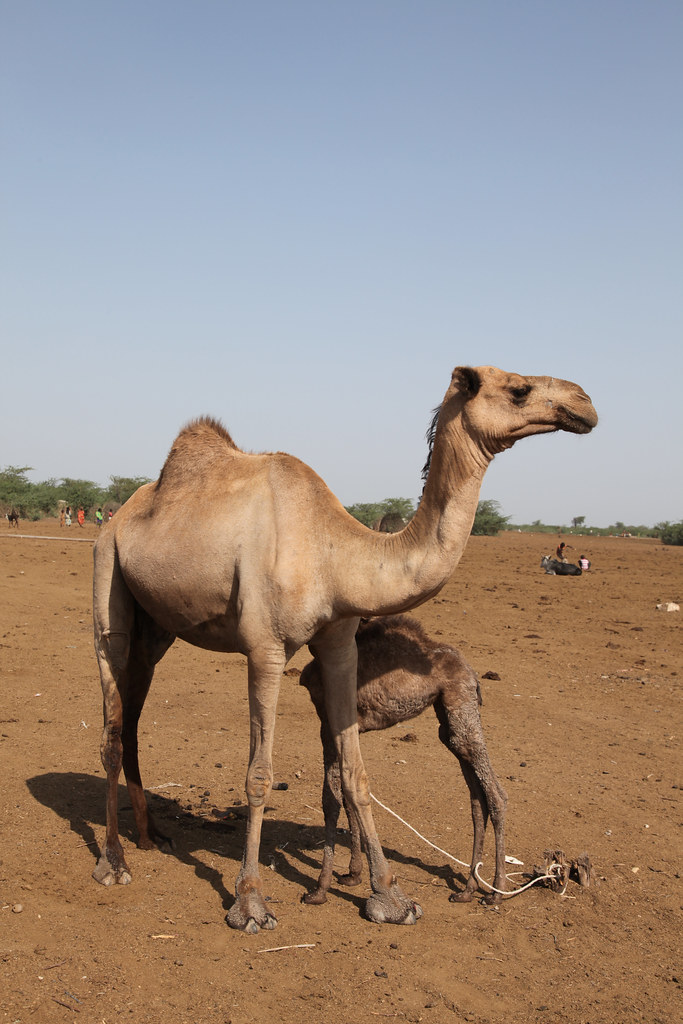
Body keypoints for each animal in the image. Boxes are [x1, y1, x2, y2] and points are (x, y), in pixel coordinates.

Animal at [299, 614, 507, 906]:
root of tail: (472, 673)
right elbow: (347, 796)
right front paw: (353, 874)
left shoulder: (328, 724)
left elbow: (331, 800)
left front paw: (319, 890)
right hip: (450, 719)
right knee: (478, 799)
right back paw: (467, 889)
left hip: (461, 708)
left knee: (496, 795)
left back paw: (497, 891)